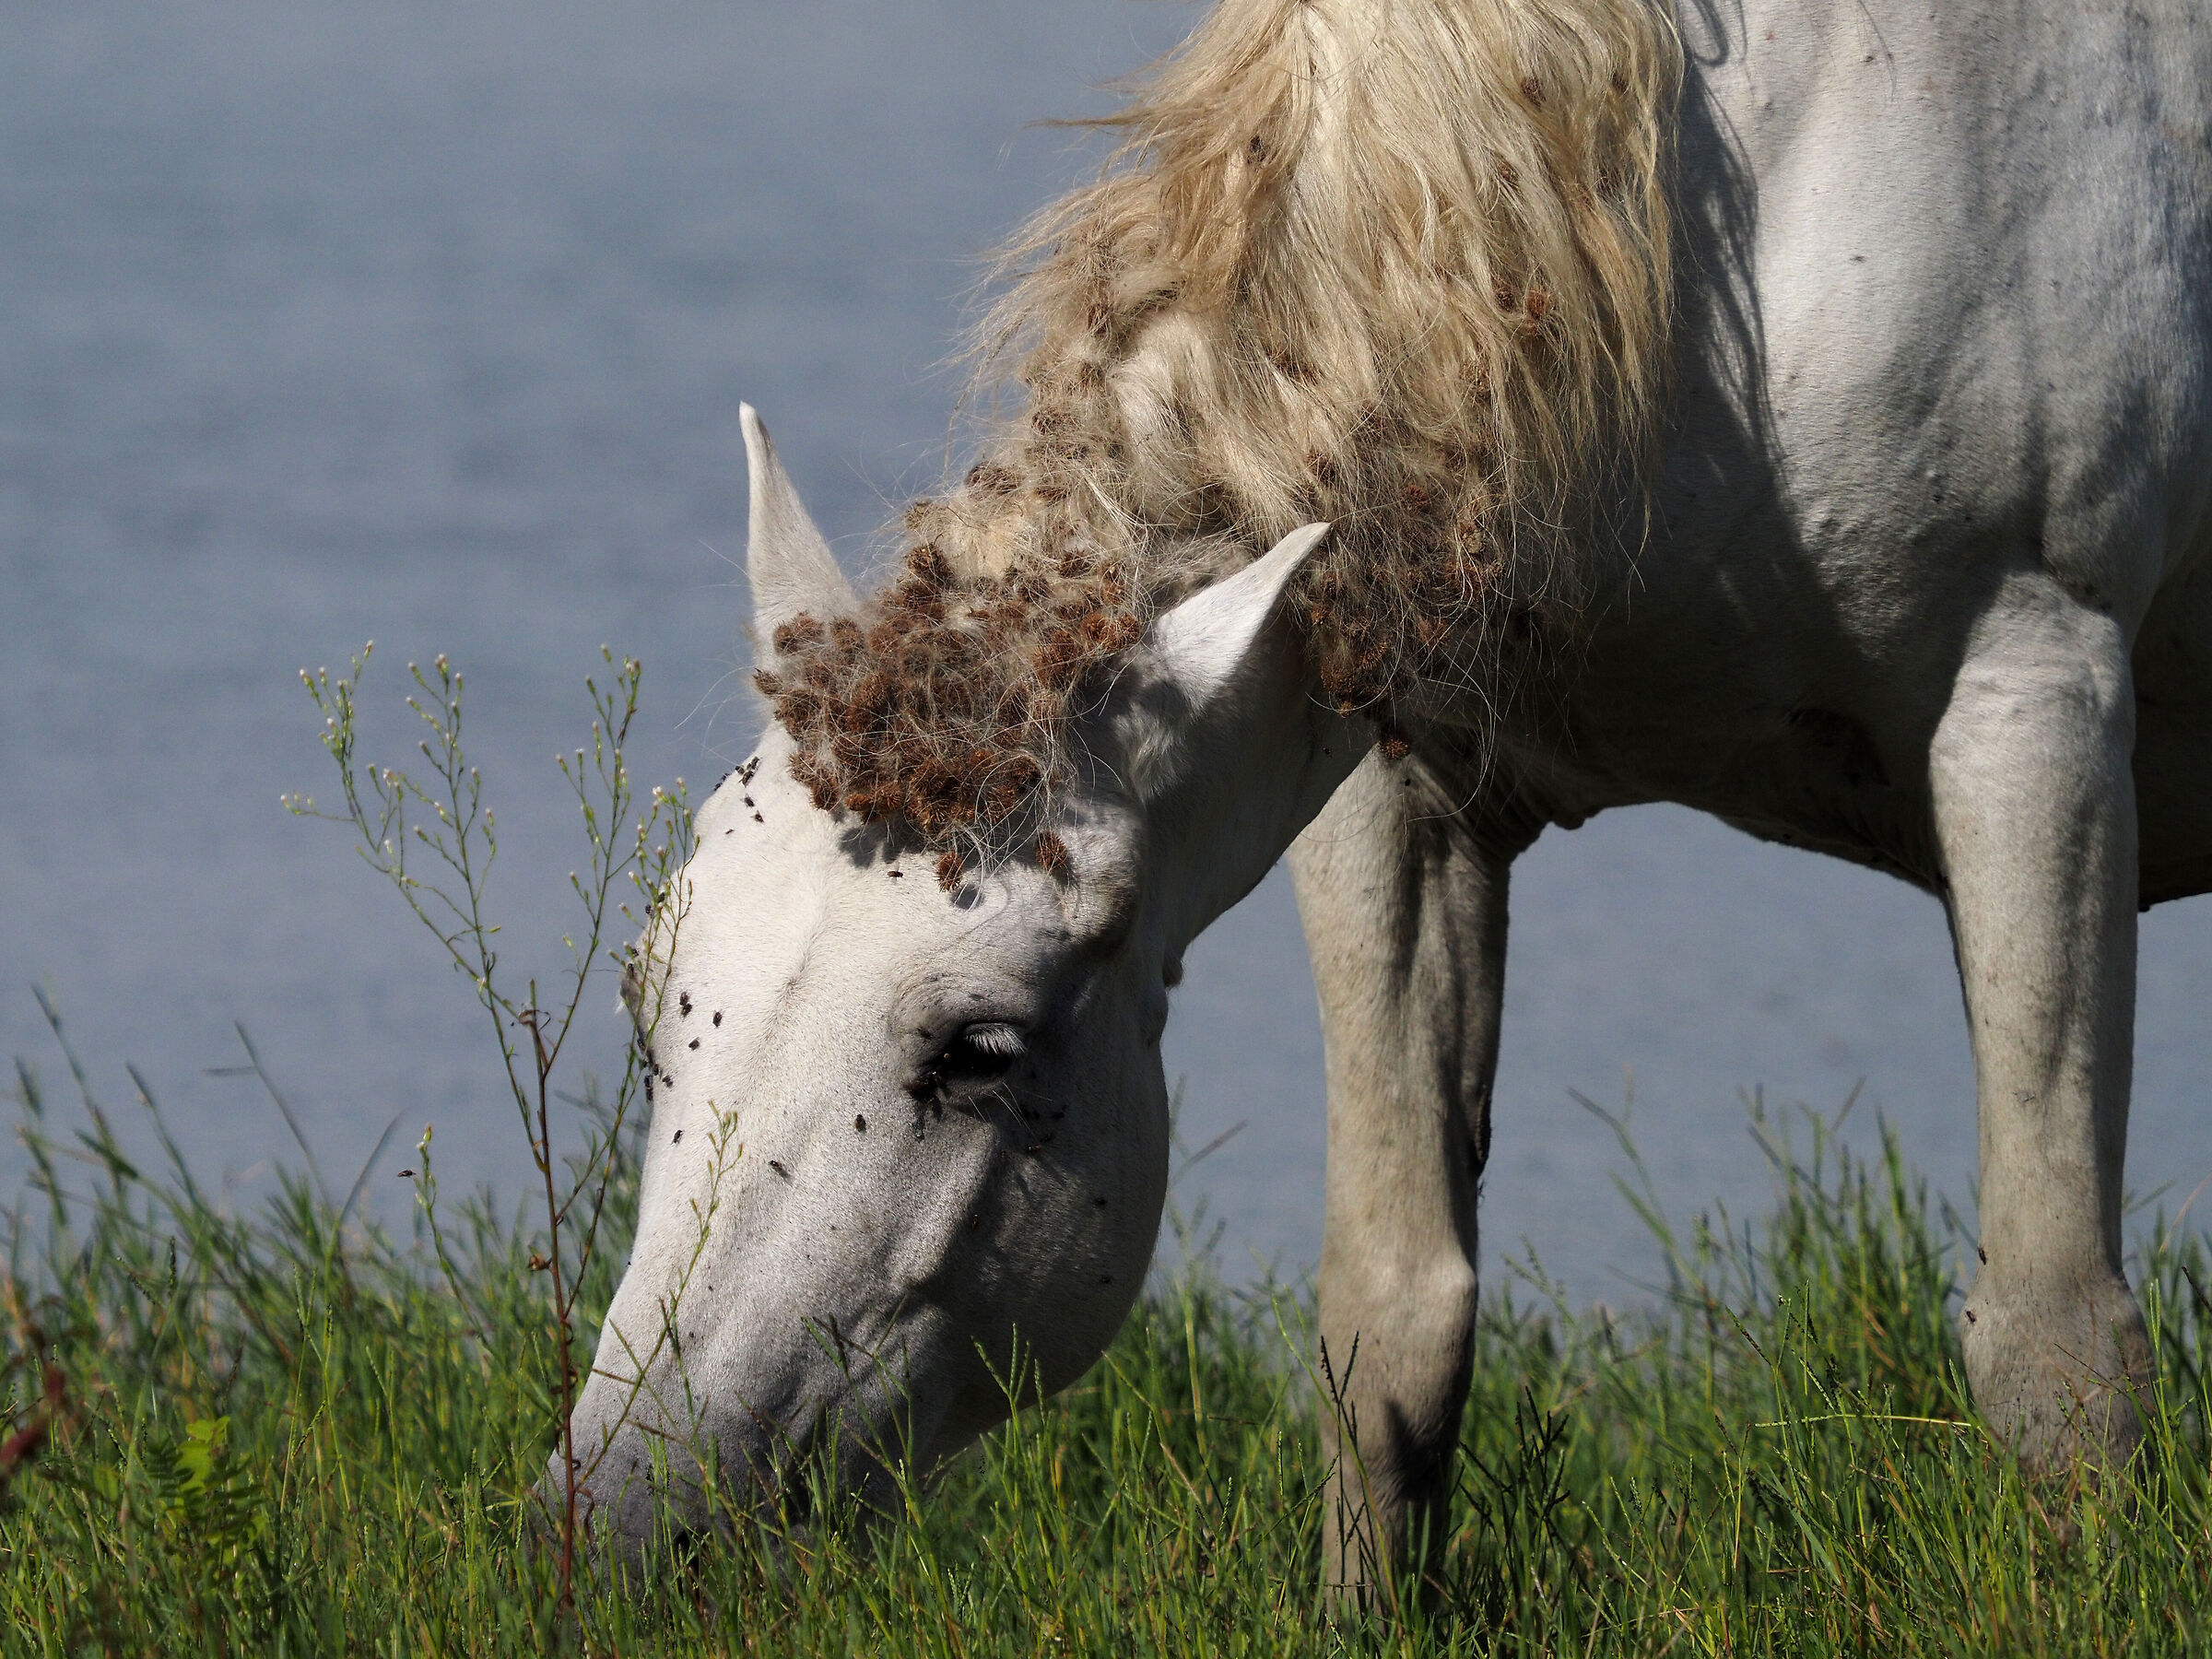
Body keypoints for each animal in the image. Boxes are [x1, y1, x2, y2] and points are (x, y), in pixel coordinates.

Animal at [558, 0, 2212, 1602]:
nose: (622, 1527)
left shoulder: (2030, 695)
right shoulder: (1400, 783)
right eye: (651, 1000)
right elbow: (1394, 1322)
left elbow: (2056, 1346)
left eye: (980, 1049)